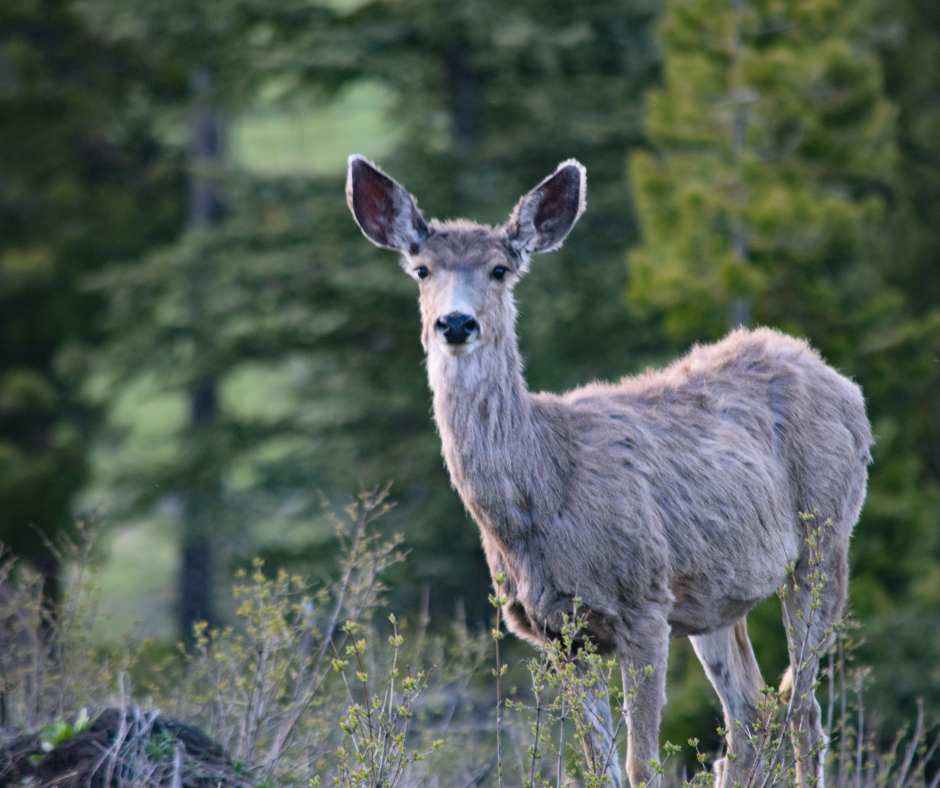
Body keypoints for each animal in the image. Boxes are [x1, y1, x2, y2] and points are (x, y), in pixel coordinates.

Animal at [346, 155, 872, 788]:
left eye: (500, 269)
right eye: (422, 270)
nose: (455, 323)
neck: (542, 494)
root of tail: (839, 379)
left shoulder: (643, 604)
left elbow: (640, 765)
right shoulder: (560, 634)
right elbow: (599, 767)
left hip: (824, 539)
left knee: (804, 709)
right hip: (714, 596)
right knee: (751, 712)